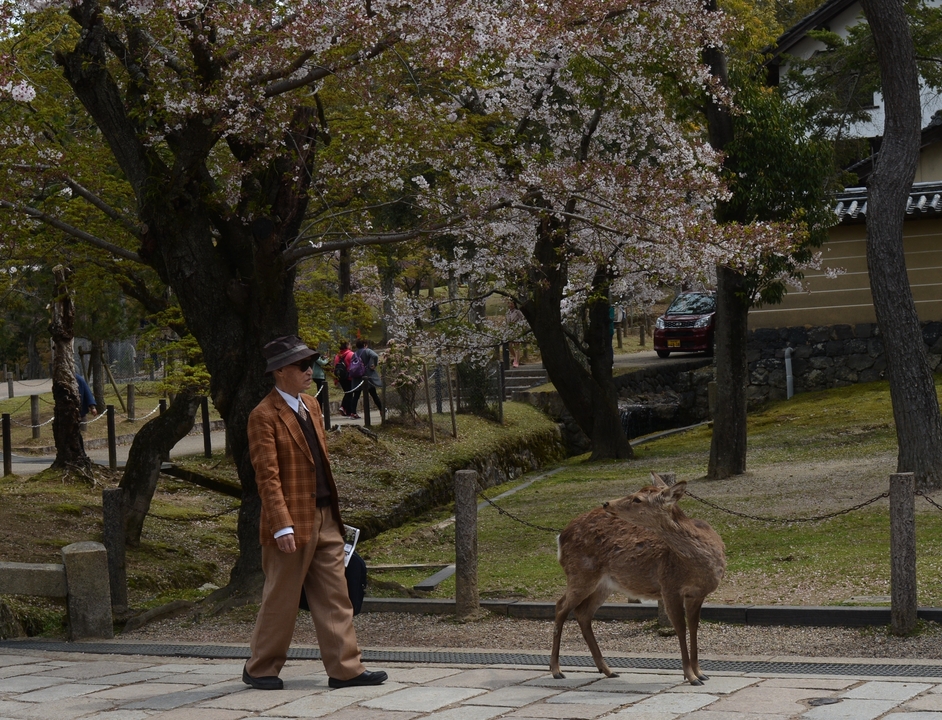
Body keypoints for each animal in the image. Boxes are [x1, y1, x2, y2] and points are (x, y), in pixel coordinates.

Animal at [549, 472, 726, 686]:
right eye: (634, 493)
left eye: (638, 499)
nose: (607, 503)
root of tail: (561, 536)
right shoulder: (669, 586)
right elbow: (680, 627)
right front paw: (690, 676)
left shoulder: (697, 594)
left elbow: (693, 627)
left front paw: (700, 673)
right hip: (580, 573)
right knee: (561, 606)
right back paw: (556, 670)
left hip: (604, 584)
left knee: (582, 612)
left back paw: (608, 670)